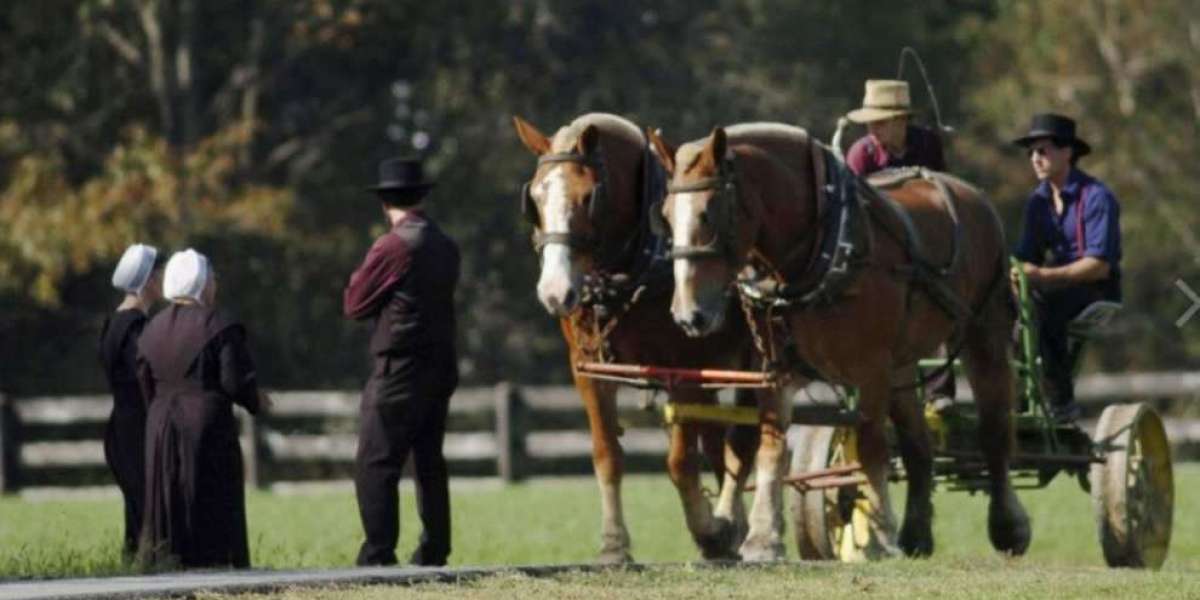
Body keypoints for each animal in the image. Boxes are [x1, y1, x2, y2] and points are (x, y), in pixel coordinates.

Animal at [508, 113, 753, 561]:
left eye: (589, 197)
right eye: (534, 199)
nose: (554, 292)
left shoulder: (683, 370)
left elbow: (680, 462)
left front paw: (707, 529)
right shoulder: (588, 369)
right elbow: (607, 453)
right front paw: (614, 544)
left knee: (745, 442)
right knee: (718, 443)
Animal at [648, 124, 1032, 559]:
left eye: (709, 212)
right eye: (665, 216)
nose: (688, 314)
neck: (822, 251)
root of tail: (972, 195)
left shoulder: (870, 367)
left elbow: (871, 446)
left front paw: (880, 536)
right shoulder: (776, 369)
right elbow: (770, 447)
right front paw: (763, 538)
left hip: (985, 334)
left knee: (995, 429)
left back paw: (1007, 524)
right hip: (901, 365)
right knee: (919, 445)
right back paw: (916, 533)